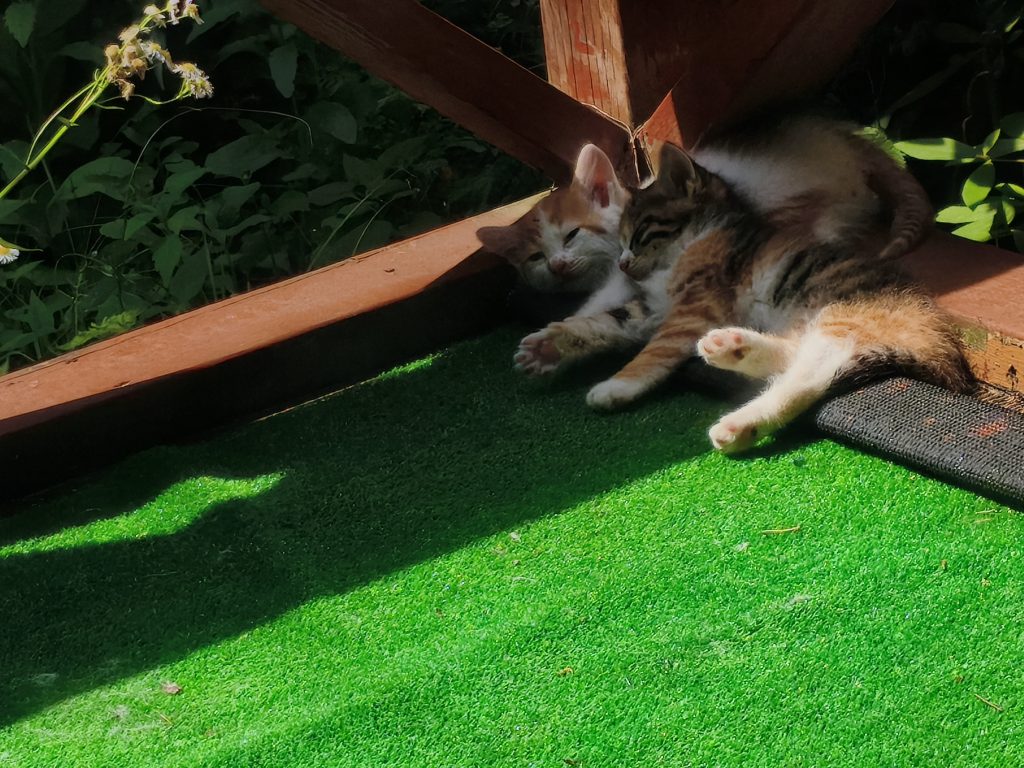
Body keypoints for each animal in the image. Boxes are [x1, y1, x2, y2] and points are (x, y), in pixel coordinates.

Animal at [519, 142, 972, 452]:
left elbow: (656, 350)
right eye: (619, 238)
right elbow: (606, 320)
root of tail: (935, 334)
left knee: (809, 376)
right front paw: (549, 344)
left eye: (641, 232)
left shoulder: (696, 304)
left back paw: (739, 423)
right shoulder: (652, 308)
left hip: (844, 312)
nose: (624, 264)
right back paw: (731, 347)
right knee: (796, 355)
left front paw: (619, 385)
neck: (691, 242)